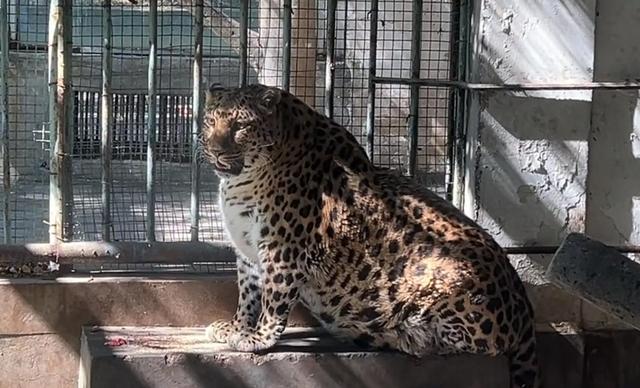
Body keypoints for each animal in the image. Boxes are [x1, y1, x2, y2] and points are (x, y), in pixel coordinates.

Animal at [200, 82, 540, 388]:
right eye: (210, 122)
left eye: (241, 126)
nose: (215, 151)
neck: (241, 182)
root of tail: (525, 312)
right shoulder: (247, 252)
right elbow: (248, 293)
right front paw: (236, 327)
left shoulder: (281, 252)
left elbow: (273, 299)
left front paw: (257, 338)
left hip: (443, 271)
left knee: (474, 347)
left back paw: (393, 334)